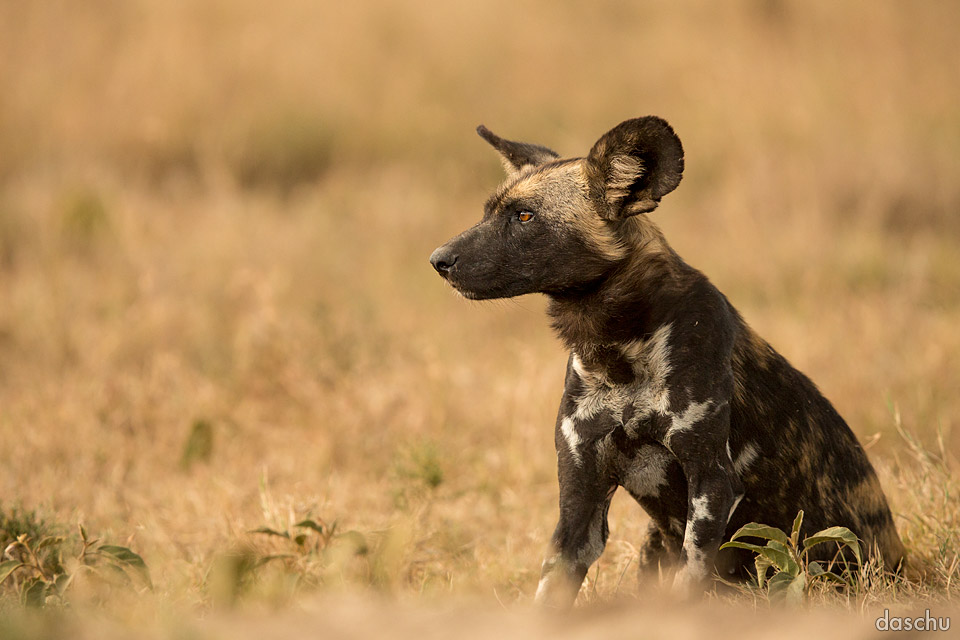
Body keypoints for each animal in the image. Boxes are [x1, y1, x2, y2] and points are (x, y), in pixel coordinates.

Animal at [432, 117, 904, 608]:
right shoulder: (579, 497)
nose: (438, 260)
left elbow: (690, 579)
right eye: (487, 213)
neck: (618, 356)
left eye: (524, 217)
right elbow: (551, 589)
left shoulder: (711, 486)